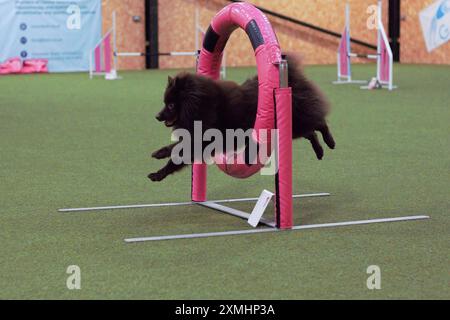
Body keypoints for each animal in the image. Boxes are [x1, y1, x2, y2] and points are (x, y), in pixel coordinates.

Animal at [149, 56, 336, 181]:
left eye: (171, 105)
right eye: (165, 103)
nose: (157, 116)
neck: (200, 106)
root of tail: (292, 78)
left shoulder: (202, 141)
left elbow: (176, 155)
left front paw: (157, 173)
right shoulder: (194, 138)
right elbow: (173, 148)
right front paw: (159, 153)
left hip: (296, 121)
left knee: (319, 123)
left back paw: (330, 142)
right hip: (292, 128)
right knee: (311, 132)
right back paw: (320, 151)